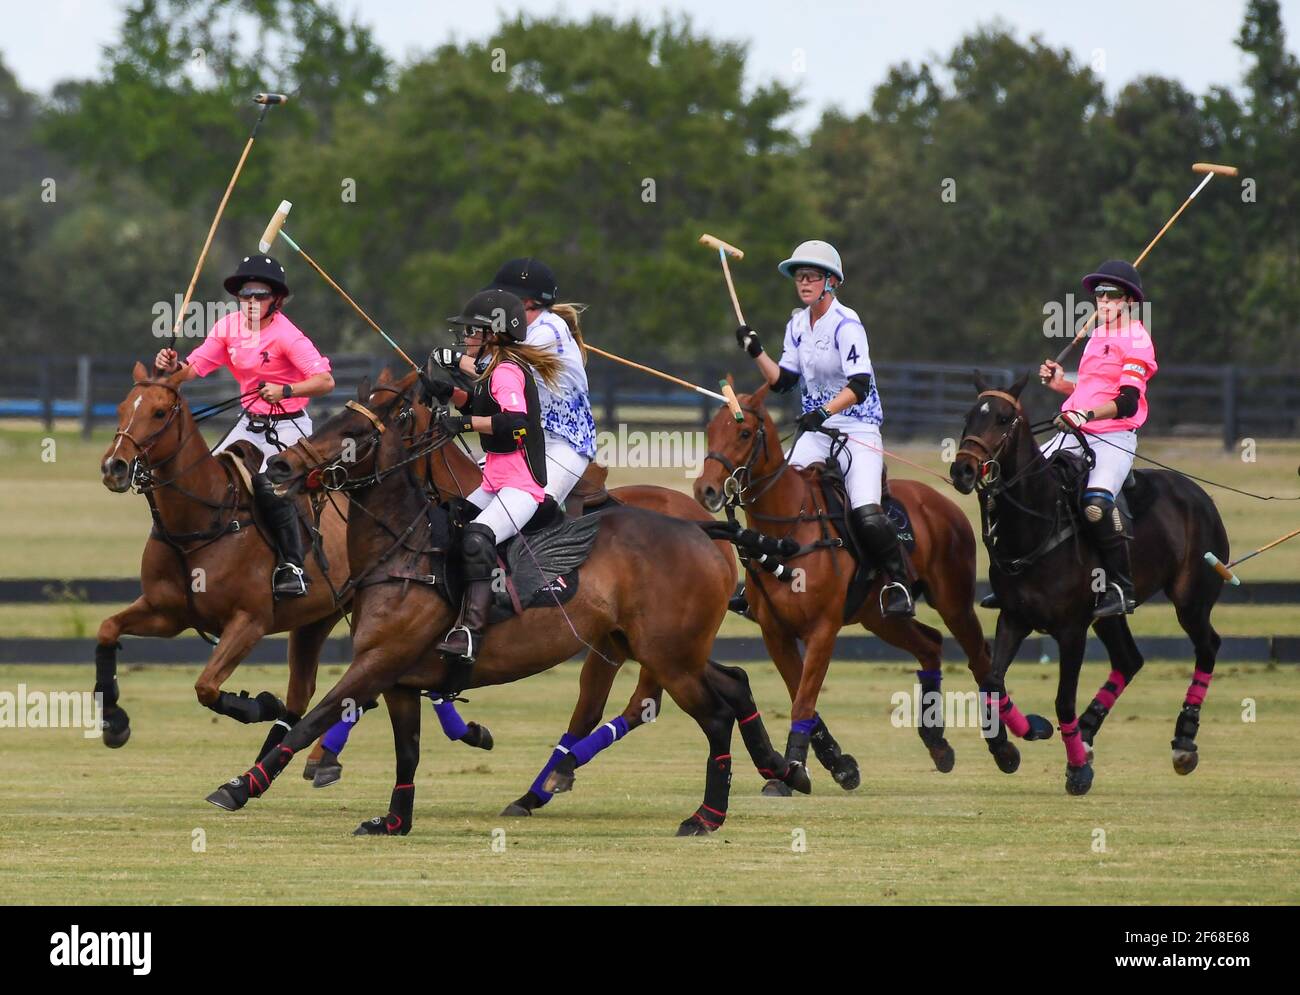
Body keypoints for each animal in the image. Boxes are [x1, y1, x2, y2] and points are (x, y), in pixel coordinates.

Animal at [202, 369, 806, 832]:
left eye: (352, 430)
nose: (278, 468)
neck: (406, 548)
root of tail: (702, 528)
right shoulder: (399, 680)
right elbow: (407, 751)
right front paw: (392, 821)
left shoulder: (379, 661)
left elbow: (315, 718)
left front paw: (238, 786)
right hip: (660, 646)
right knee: (732, 682)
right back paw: (778, 769)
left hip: (667, 654)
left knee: (712, 715)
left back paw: (706, 815)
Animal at [696, 384, 1008, 785]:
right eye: (710, 431)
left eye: (745, 433)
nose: (705, 490)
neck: (787, 527)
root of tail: (942, 500)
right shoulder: (774, 632)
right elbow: (799, 692)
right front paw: (838, 763)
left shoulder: (823, 628)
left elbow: (804, 697)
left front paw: (795, 766)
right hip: (878, 616)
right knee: (930, 643)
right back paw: (937, 743)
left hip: (953, 600)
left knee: (979, 658)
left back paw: (1004, 747)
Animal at [951, 371, 1222, 790]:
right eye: (968, 416)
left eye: (1002, 419)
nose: (962, 470)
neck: (1037, 523)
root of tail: (1198, 493)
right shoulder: (1013, 618)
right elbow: (991, 680)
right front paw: (1014, 743)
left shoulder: (1071, 629)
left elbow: (1063, 698)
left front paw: (1077, 770)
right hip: (1109, 614)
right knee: (1129, 659)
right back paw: (1088, 732)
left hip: (1191, 599)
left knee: (1208, 645)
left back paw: (1183, 741)